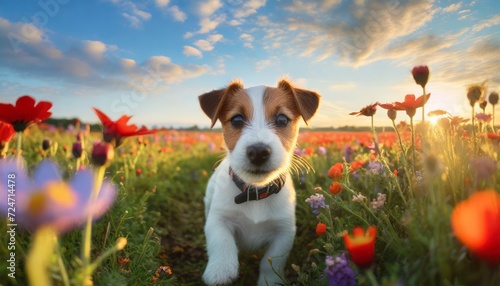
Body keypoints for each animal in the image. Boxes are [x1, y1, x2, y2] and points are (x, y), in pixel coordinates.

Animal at [197, 79, 318, 286]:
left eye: (282, 120)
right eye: (237, 120)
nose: (259, 152)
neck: (255, 192)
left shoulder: (284, 231)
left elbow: (272, 261)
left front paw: (270, 281)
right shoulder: (219, 218)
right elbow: (221, 240)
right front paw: (220, 270)